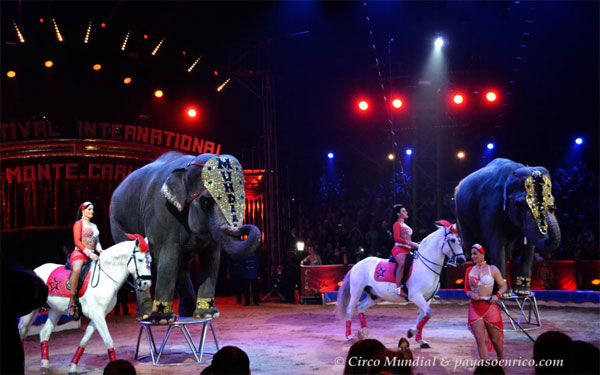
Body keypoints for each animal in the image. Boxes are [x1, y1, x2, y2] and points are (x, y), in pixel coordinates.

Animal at [19, 236, 152, 374]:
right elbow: (108, 341)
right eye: (140, 260)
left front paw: (73, 368)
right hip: (30, 311)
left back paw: (44, 366)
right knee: (22, 331)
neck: (105, 277)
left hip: (55, 311)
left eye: (150, 260)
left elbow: (84, 341)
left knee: (44, 333)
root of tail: (34, 270)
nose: (146, 284)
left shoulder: (98, 316)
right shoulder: (98, 315)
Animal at [110, 152, 260, 324]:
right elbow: (169, 256)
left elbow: (211, 258)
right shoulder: (162, 212)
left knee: (181, 266)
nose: (243, 228)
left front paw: (207, 314)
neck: (187, 167)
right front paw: (163, 319)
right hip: (117, 223)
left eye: (243, 198)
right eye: (206, 202)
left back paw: (187, 311)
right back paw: (146, 316)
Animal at [336, 222, 466, 348]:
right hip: (356, 291)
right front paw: (411, 333)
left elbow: (422, 317)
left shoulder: (427, 298)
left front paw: (421, 341)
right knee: (350, 310)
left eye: (460, 240)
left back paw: (363, 333)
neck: (425, 266)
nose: (462, 260)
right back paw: (349, 337)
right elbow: (428, 313)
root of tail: (357, 264)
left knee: (361, 307)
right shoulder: (415, 296)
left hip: (375, 296)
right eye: (453, 240)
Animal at [454, 159, 564, 296]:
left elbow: (529, 245)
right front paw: (505, 292)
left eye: (552, 199)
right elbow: (497, 242)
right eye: (521, 205)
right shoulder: (491, 207)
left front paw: (523, 291)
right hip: (463, 217)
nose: (553, 208)